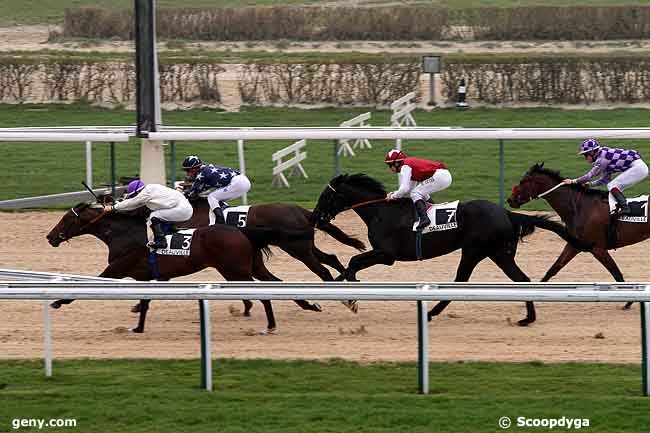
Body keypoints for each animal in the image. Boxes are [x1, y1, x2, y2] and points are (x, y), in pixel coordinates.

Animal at [45, 201, 296, 332]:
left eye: (67, 219)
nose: (50, 237)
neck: (124, 236)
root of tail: (241, 231)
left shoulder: (115, 271)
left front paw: (58, 301)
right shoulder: (147, 278)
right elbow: (145, 302)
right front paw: (138, 327)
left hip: (236, 270)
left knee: (264, 292)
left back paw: (271, 324)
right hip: (239, 269)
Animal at [308, 172, 588, 324]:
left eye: (326, 196)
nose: (315, 218)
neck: (380, 211)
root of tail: (507, 213)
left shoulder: (387, 255)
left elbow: (354, 262)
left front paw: (351, 297)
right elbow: (348, 265)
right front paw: (332, 294)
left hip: (476, 250)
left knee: (461, 280)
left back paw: (431, 312)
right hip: (499, 253)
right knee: (522, 279)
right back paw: (528, 318)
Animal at [508, 161, 644, 308]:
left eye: (522, 182)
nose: (510, 200)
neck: (580, 207)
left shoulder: (598, 249)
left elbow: (616, 273)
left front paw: (629, 302)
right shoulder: (574, 245)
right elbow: (554, 268)